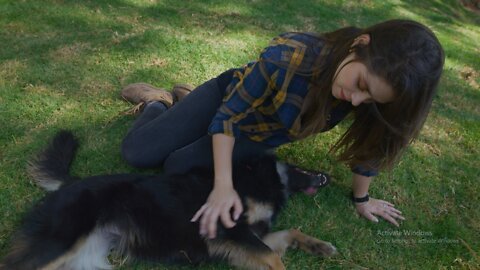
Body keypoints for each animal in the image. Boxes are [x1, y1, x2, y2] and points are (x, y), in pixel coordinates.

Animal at [0, 130, 338, 268]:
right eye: (303, 166)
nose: (329, 176)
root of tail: (70, 183)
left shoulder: (249, 237)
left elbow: (289, 234)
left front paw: (320, 246)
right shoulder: (231, 231)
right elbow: (273, 258)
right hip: (60, 242)